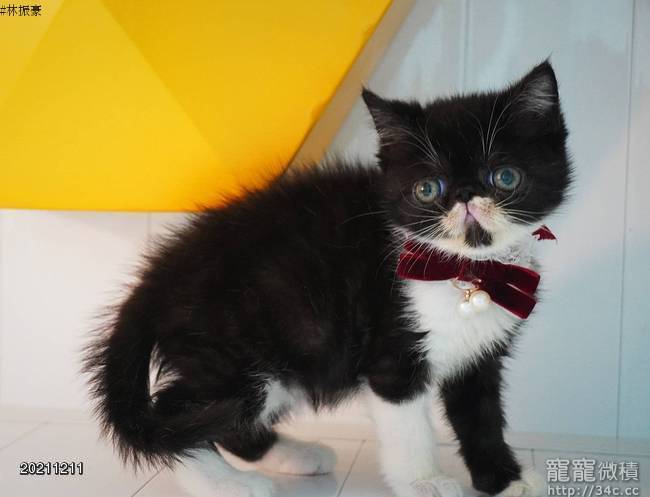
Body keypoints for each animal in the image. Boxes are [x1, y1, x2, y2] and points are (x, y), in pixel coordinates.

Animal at [84, 60, 571, 497]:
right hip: (233, 352)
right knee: (173, 419)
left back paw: (296, 456)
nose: (467, 196)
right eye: (427, 189)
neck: (468, 271)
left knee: (226, 425)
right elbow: (408, 426)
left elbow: (481, 416)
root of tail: (155, 277)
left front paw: (505, 480)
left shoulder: (480, 356)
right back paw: (228, 484)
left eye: (504, 177)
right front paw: (423, 482)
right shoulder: (392, 352)